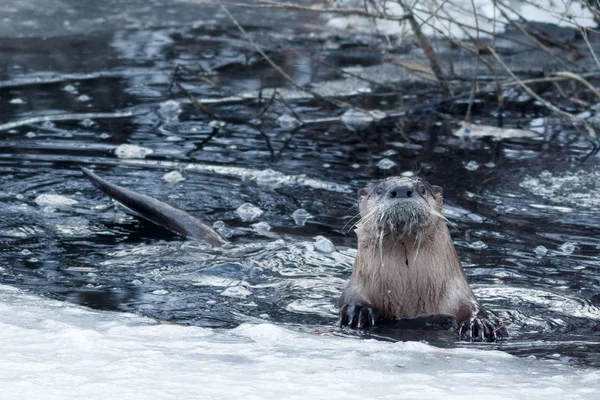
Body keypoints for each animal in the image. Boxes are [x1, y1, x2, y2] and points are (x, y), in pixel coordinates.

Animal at [338, 177, 506, 340]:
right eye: (379, 190)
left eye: (423, 189)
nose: (401, 189)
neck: (407, 290)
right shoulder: (357, 286)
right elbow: (353, 298)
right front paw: (359, 311)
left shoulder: (459, 291)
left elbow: (472, 307)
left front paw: (479, 322)